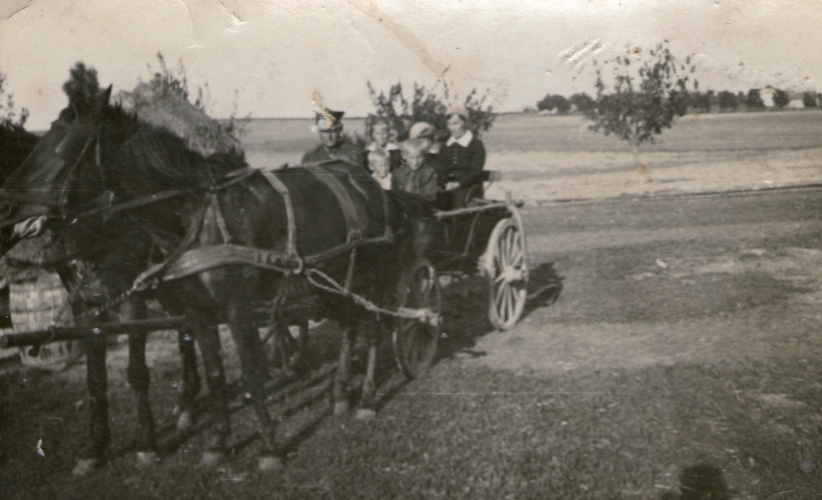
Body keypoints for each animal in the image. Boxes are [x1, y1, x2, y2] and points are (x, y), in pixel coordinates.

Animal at [0, 88, 424, 474]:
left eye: (62, 151)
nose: (7, 206)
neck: (192, 215)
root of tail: (370, 183)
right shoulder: (192, 311)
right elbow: (215, 372)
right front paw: (218, 443)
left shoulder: (232, 307)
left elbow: (248, 372)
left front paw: (268, 447)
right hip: (337, 283)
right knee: (351, 328)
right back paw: (339, 394)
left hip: (374, 280)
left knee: (374, 331)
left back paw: (365, 399)